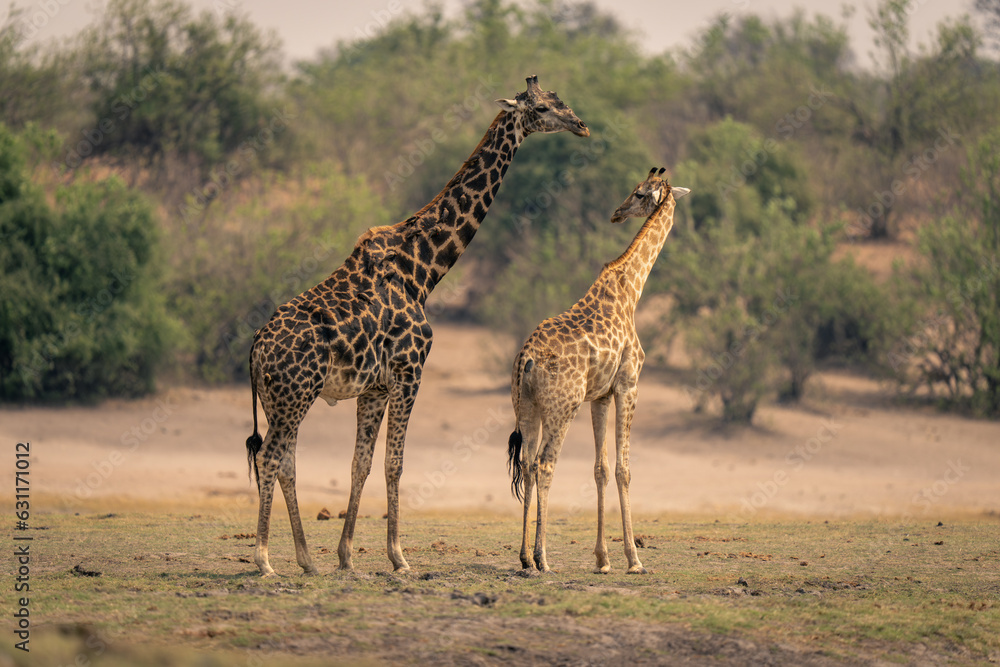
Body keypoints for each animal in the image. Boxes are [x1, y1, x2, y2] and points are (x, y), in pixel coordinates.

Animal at [245, 76, 589, 576]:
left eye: (561, 100)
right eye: (543, 107)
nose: (581, 125)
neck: (423, 270)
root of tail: (254, 348)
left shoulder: (374, 387)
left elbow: (361, 463)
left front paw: (346, 556)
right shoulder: (410, 372)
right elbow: (395, 463)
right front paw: (398, 556)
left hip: (278, 401)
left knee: (285, 460)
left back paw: (307, 560)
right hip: (296, 394)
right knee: (271, 458)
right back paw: (265, 559)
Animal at [506, 168, 690, 574]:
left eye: (637, 193)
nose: (616, 213)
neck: (632, 289)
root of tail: (526, 358)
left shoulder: (600, 396)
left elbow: (600, 469)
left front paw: (603, 560)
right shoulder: (628, 384)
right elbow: (623, 469)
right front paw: (634, 560)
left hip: (526, 408)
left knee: (527, 464)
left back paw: (525, 557)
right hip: (561, 408)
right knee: (545, 465)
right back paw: (543, 559)